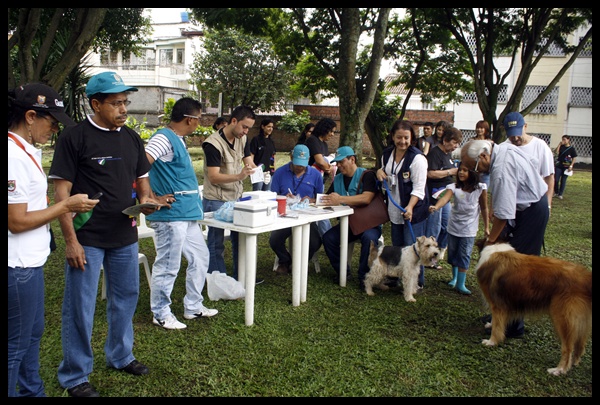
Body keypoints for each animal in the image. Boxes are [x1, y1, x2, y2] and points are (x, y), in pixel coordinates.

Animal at [474, 241, 592, 376]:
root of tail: (585, 277)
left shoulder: (497, 305)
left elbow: (497, 326)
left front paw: (491, 341)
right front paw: (490, 324)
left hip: (562, 318)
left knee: (568, 348)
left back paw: (559, 370)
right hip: (580, 321)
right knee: (580, 345)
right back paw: (574, 362)